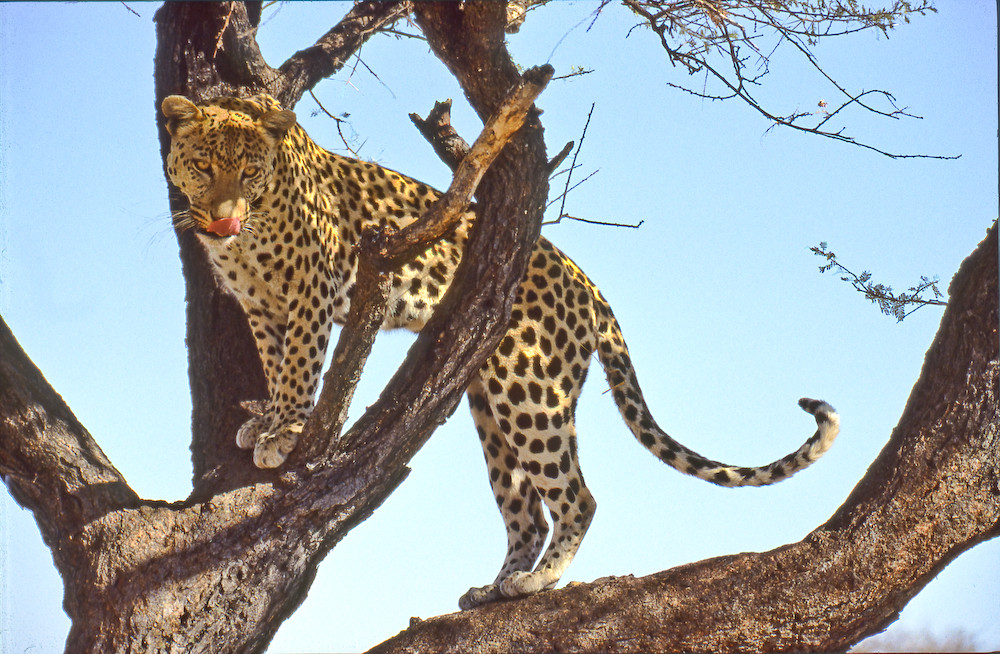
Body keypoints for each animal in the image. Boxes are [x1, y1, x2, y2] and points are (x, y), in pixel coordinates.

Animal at [160, 92, 840, 608]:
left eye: (248, 171)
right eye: (202, 167)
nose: (222, 217)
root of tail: (587, 282)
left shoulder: (310, 290)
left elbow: (301, 365)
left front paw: (287, 432)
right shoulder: (260, 306)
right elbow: (276, 365)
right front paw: (269, 422)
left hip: (530, 390)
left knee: (577, 497)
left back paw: (537, 582)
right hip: (491, 404)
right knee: (527, 511)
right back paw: (495, 587)